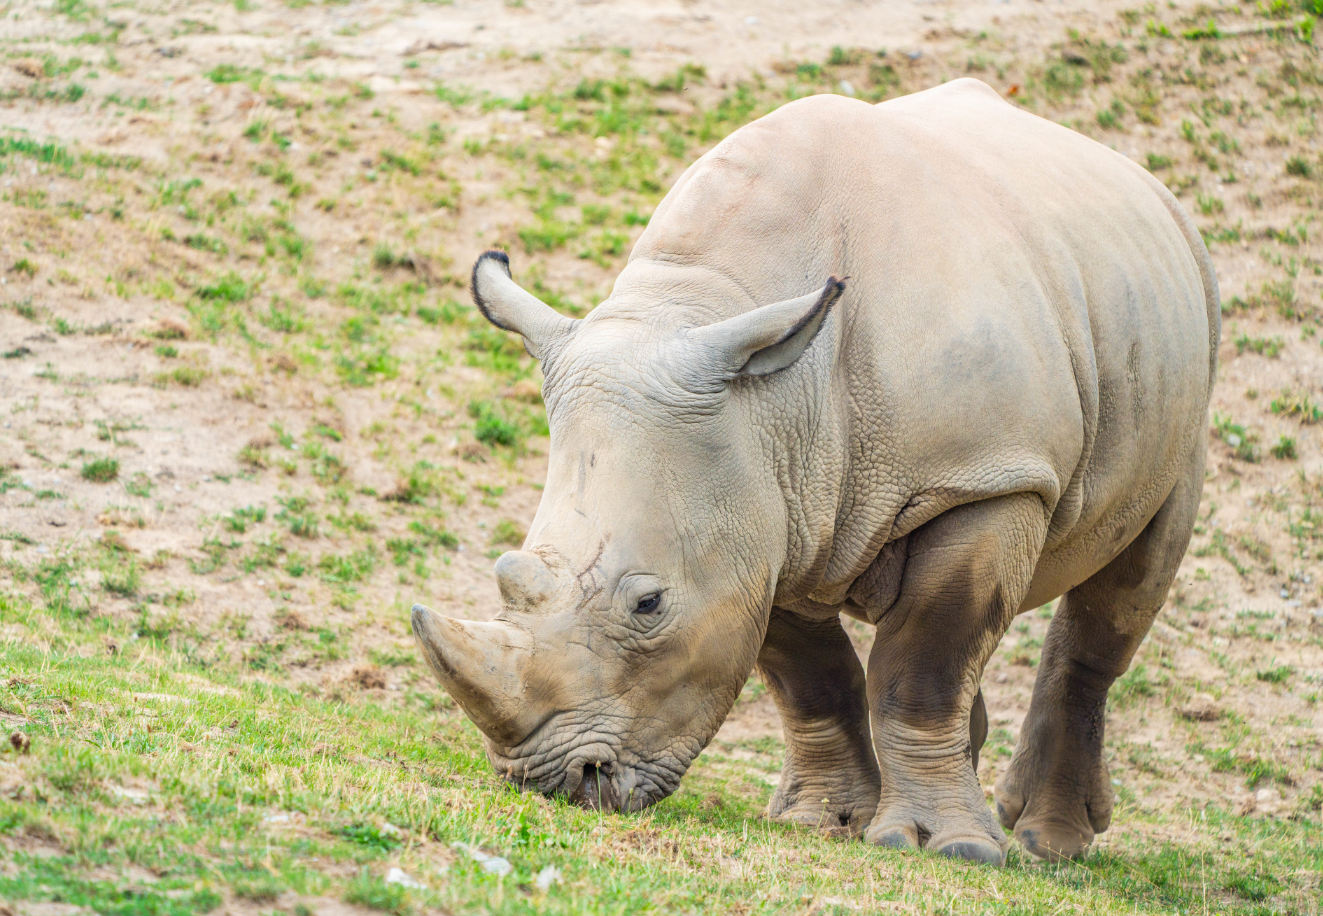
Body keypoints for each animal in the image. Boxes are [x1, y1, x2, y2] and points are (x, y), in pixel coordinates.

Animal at [411, 78, 1218, 865]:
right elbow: (810, 673)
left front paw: (947, 848)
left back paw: (1046, 845)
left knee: (1129, 574)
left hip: (1189, 347)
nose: (555, 781)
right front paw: (825, 822)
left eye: (648, 604)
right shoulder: (762, 507)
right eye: (507, 573)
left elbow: (926, 661)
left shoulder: (985, 477)